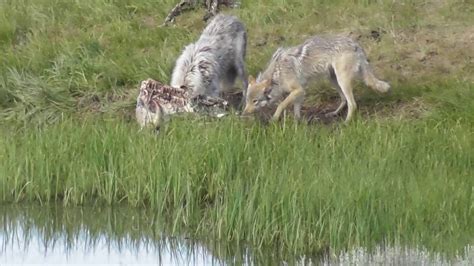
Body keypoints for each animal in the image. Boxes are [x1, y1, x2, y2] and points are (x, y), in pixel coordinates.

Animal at [243, 34, 390, 122]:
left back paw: (346, 122)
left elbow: (281, 104)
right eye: (247, 100)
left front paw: (274, 118)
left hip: (342, 81)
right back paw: (333, 114)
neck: (277, 74)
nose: (244, 113)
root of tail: (356, 45)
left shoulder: (298, 89)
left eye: (255, 101)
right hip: (333, 80)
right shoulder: (301, 91)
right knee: (344, 100)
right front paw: (297, 123)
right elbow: (296, 109)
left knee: (352, 104)